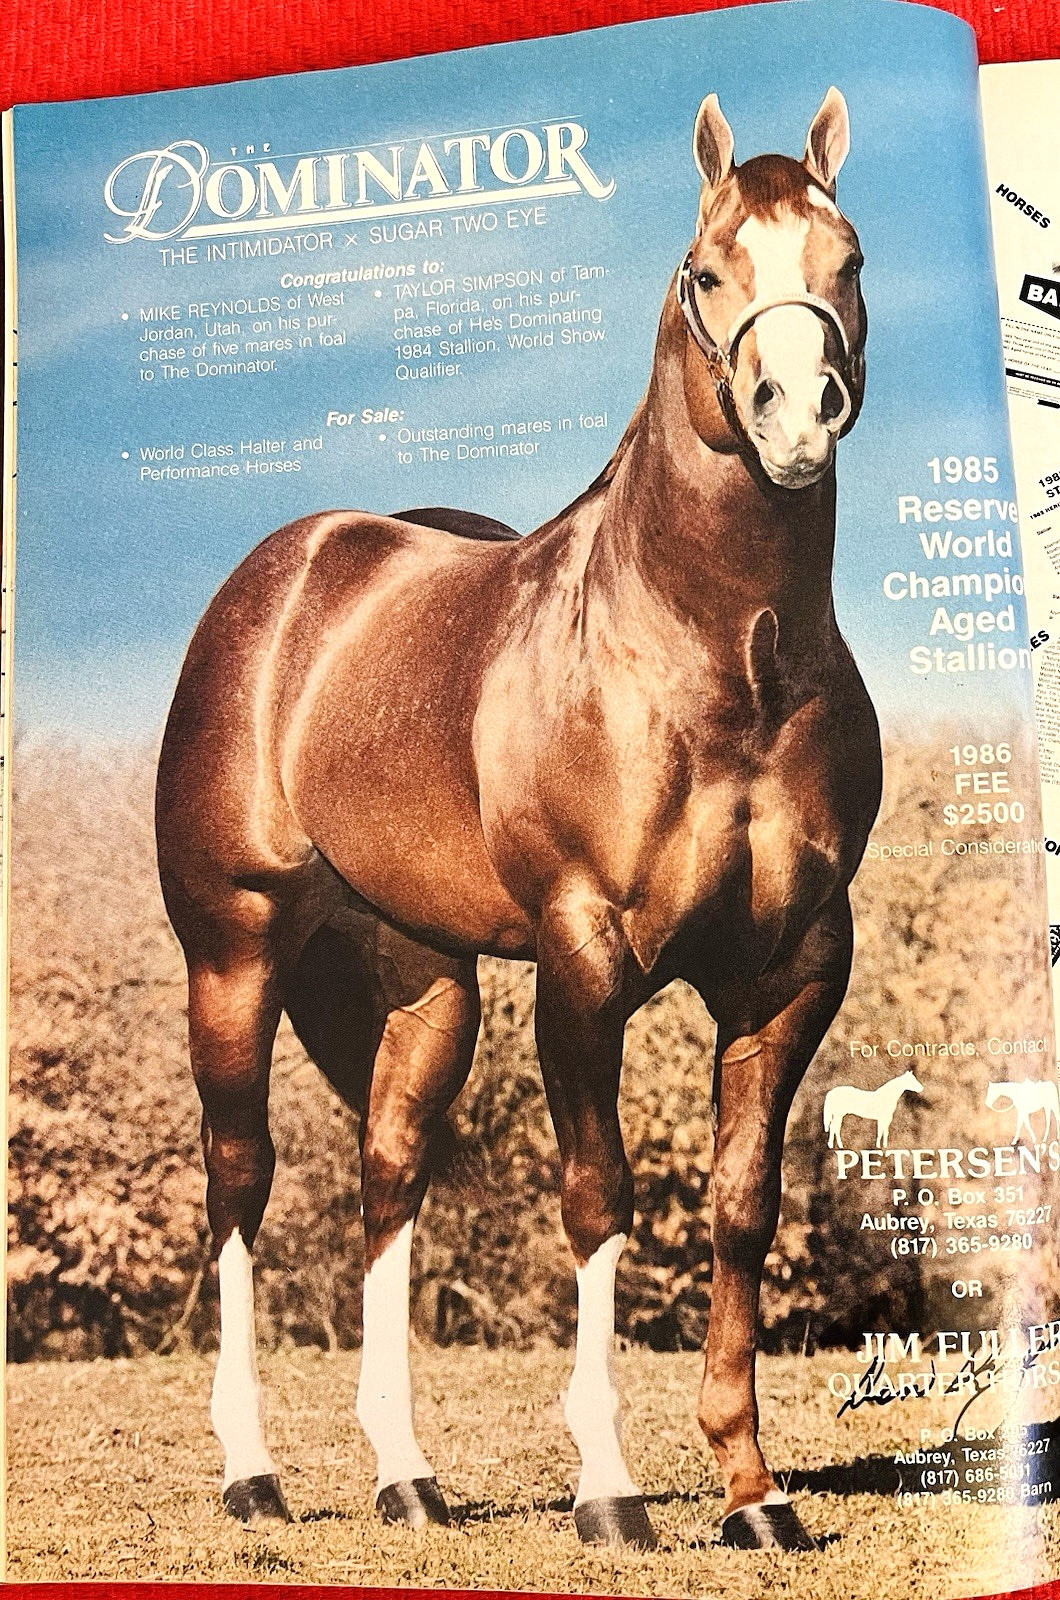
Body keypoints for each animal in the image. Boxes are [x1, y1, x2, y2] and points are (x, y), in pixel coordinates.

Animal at [155, 85, 879, 1554]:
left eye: (846, 263)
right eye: (706, 272)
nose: (797, 413)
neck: (725, 662)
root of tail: (290, 572)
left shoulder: (793, 971)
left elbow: (740, 1204)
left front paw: (753, 1491)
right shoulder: (584, 958)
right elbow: (599, 1198)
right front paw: (609, 1488)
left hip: (422, 988)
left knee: (388, 1179)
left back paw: (406, 1479)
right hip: (234, 957)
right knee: (240, 1182)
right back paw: (253, 1474)